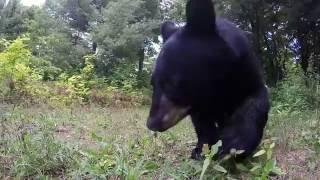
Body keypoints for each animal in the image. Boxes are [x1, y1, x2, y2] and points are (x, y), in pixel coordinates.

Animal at [147, 0, 270, 160]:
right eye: (152, 83)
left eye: (171, 83)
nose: (151, 123)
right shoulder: (197, 104)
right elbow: (202, 124)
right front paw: (205, 148)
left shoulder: (245, 69)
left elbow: (256, 99)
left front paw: (236, 142)